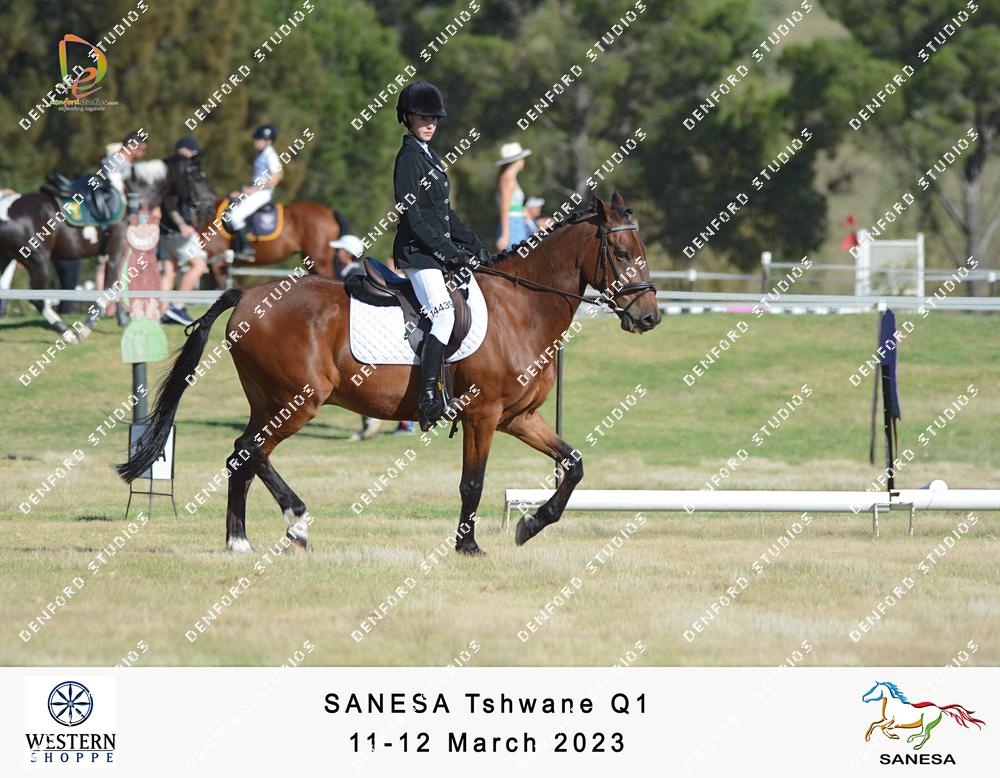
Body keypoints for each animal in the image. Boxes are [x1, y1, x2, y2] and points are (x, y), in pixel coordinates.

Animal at [117, 194, 660, 556]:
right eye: (623, 255)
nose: (650, 317)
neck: (521, 308)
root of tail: (247, 295)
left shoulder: (519, 418)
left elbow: (573, 464)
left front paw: (531, 524)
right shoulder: (483, 416)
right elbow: (472, 483)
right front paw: (468, 547)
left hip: (271, 401)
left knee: (245, 457)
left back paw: (253, 537)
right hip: (297, 401)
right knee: (249, 452)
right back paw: (283, 526)